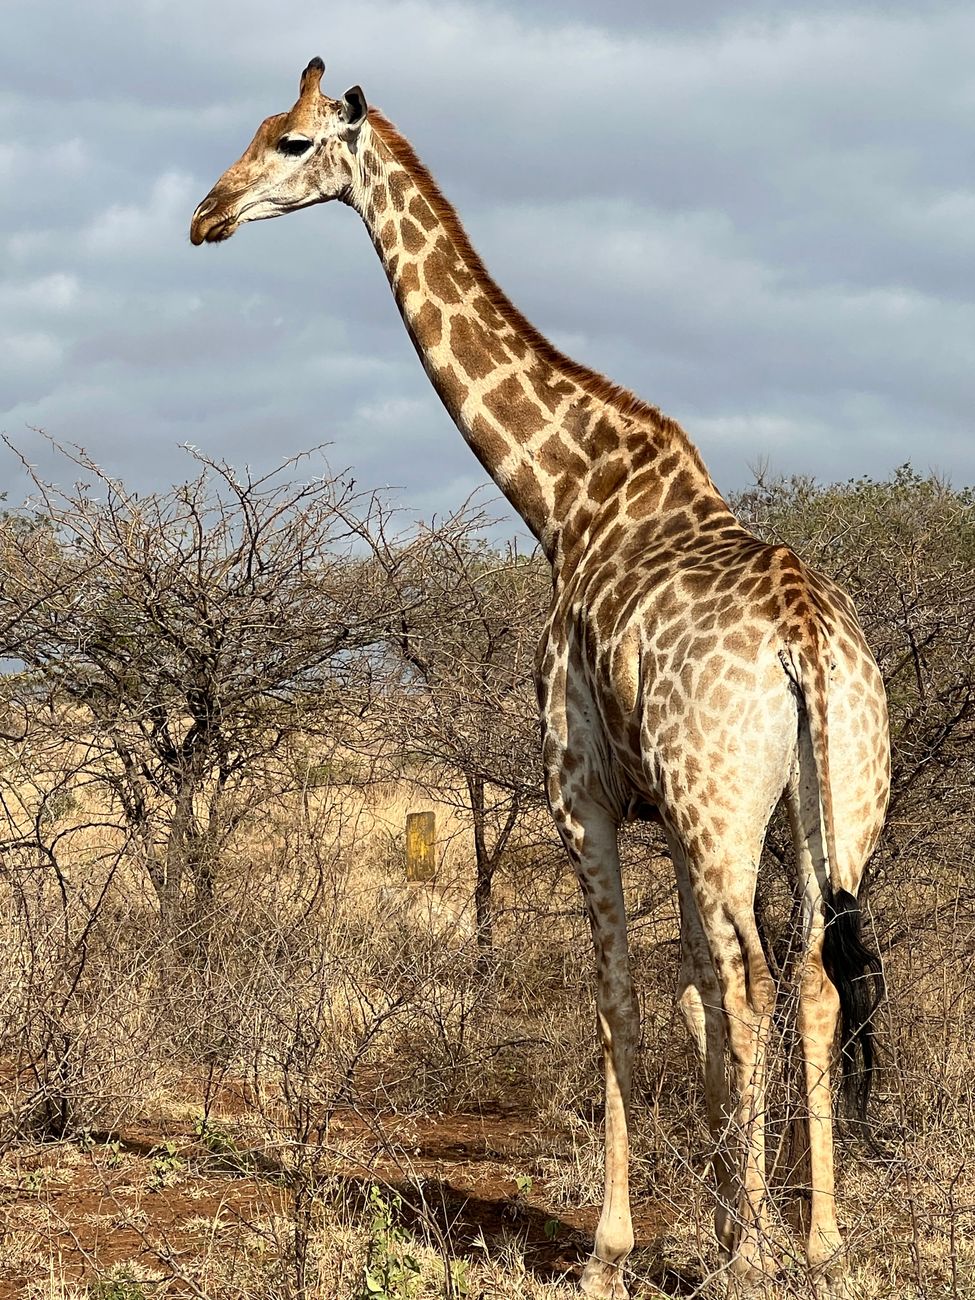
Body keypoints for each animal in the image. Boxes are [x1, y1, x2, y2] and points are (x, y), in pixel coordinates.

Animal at [190, 58, 890, 1298]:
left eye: (290, 141)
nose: (205, 215)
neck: (562, 498)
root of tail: (808, 640)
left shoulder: (585, 795)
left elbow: (621, 996)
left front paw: (625, 1243)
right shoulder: (669, 812)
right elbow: (693, 995)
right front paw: (721, 1216)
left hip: (728, 806)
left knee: (760, 982)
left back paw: (760, 1252)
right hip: (835, 802)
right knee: (805, 979)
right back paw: (819, 1240)